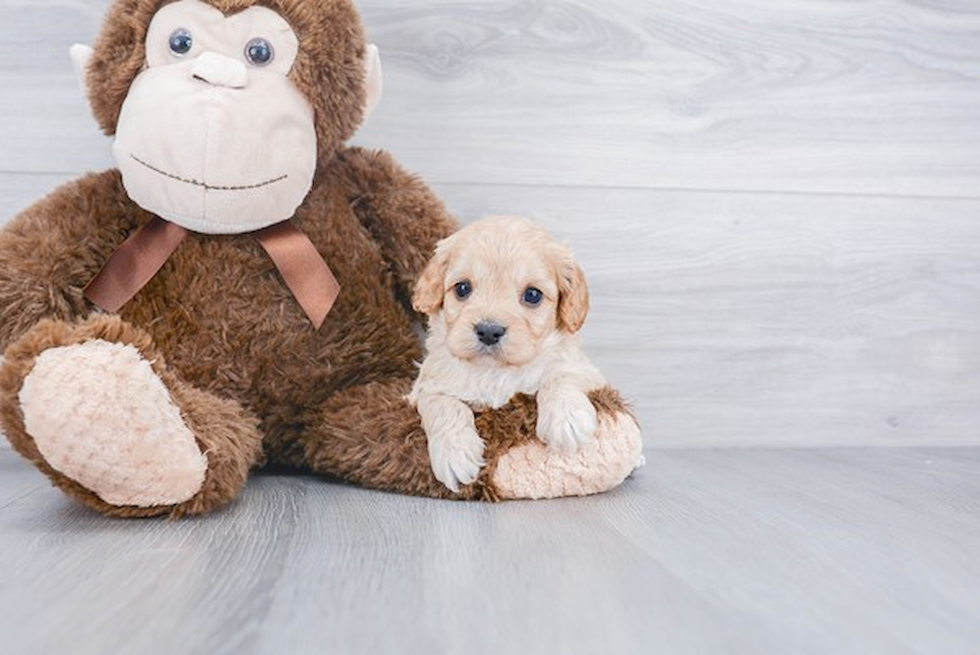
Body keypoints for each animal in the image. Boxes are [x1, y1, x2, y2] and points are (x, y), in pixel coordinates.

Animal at [406, 215, 604, 492]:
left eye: (532, 295)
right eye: (462, 288)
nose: (489, 331)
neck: (496, 371)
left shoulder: (586, 370)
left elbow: (560, 376)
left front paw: (566, 419)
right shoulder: (424, 387)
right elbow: (443, 404)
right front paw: (455, 453)